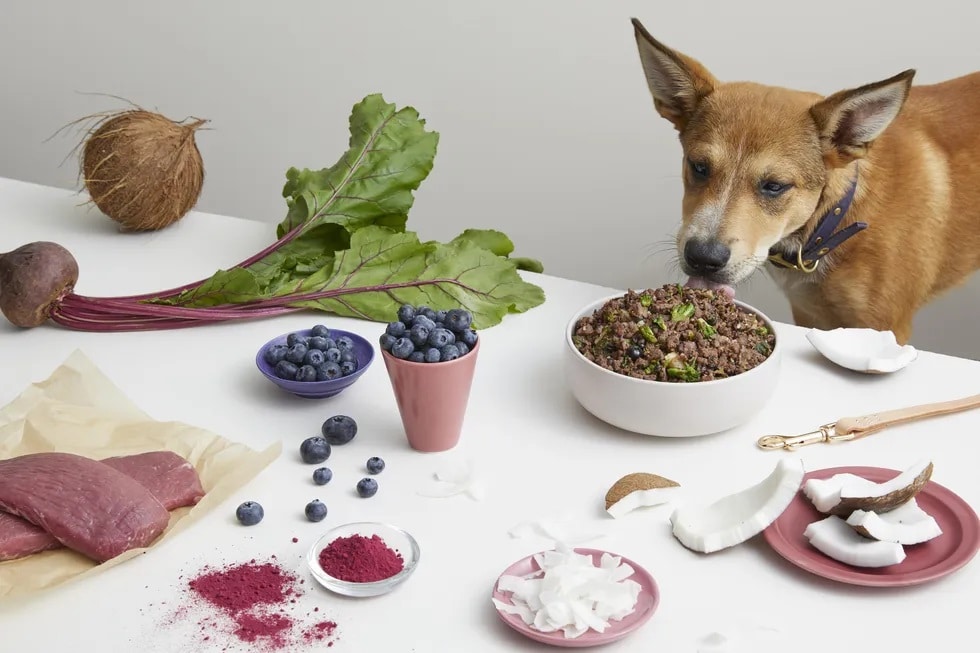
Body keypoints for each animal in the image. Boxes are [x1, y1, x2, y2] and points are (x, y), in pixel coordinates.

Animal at [632, 17, 976, 344]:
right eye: (699, 166)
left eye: (775, 186)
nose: (703, 258)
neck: (831, 225)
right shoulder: (808, 312)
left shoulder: (886, 327)